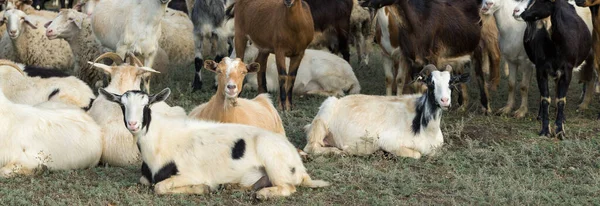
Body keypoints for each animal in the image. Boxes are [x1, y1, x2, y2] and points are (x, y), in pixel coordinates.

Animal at [98, 86, 328, 198]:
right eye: (122, 105)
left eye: (147, 105)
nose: (133, 124)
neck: (158, 140)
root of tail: (299, 167)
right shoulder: (146, 176)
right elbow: (147, 182)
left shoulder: (189, 173)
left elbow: (160, 188)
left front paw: (202, 188)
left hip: (274, 161)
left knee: (287, 187)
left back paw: (263, 194)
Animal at [302, 65, 472, 159]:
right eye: (431, 83)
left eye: (451, 83)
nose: (445, 101)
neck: (425, 129)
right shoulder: (389, 142)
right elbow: (416, 154)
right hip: (323, 118)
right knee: (311, 147)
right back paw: (339, 151)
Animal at [512, 0, 592, 138]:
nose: (520, 13)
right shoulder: (541, 68)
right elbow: (545, 98)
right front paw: (545, 130)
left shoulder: (567, 70)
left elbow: (561, 99)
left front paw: (559, 130)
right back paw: (541, 116)